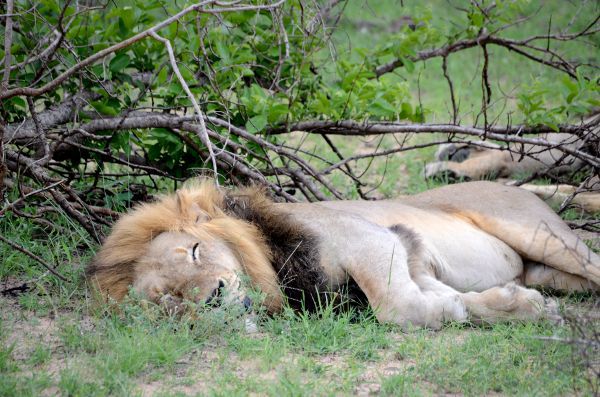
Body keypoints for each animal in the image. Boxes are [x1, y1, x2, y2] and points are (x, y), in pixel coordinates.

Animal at [86, 180, 596, 328]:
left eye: (194, 251)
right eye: (169, 300)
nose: (212, 296)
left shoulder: (374, 240)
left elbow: (396, 308)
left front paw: (450, 311)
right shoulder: (410, 258)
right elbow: (437, 297)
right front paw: (518, 306)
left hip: (545, 238)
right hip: (547, 268)